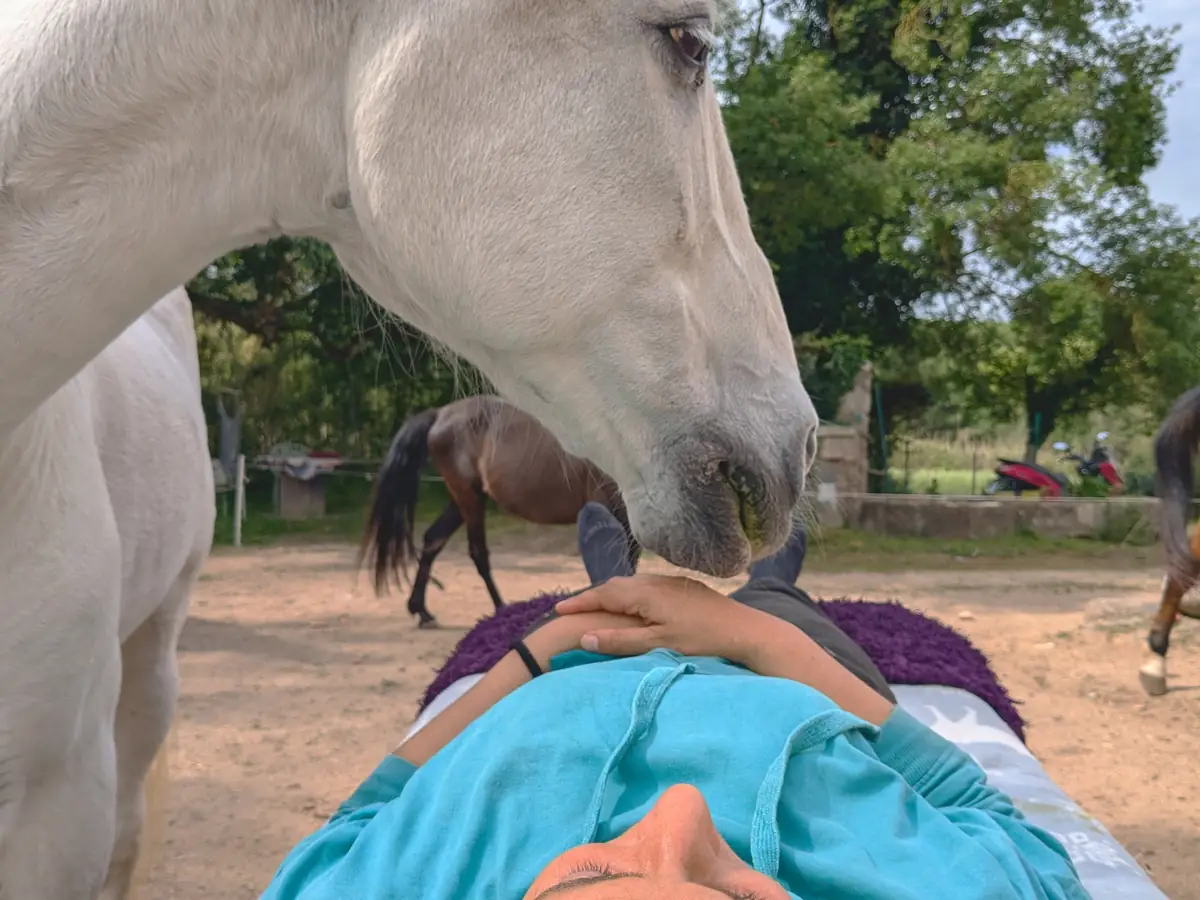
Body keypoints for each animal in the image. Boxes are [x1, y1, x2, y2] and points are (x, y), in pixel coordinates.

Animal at [359, 395, 639, 627]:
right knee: (477, 553)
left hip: (463, 500)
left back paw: (421, 610)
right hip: (469, 498)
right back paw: (501, 611)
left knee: (433, 538)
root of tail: (440, 414)